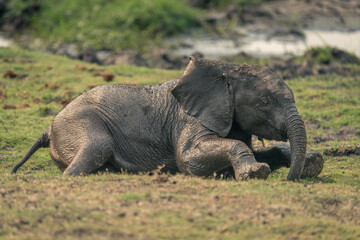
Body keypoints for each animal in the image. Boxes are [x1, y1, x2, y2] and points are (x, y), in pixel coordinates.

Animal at [12, 56, 324, 180]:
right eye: (265, 102)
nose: (291, 180)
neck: (225, 70)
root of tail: (48, 128)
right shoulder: (190, 120)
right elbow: (189, 160)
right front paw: (256, 173)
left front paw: (313, 164)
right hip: (78, 125)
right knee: (96, 147)